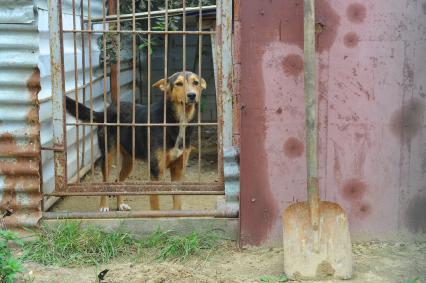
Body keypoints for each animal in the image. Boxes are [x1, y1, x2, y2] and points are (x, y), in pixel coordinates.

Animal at [65, 72, 206, 212]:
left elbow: (177, 203)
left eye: (196, 82)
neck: (176, 120)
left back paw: (120, 205)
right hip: (108, 157)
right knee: (105, 181)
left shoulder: (178, 169)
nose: (192, 95)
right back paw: (104, 206)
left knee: (119, 181)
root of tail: (106, 111)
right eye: (178, 84)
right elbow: (155, 205)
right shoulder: (155, 170)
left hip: (130, 161)